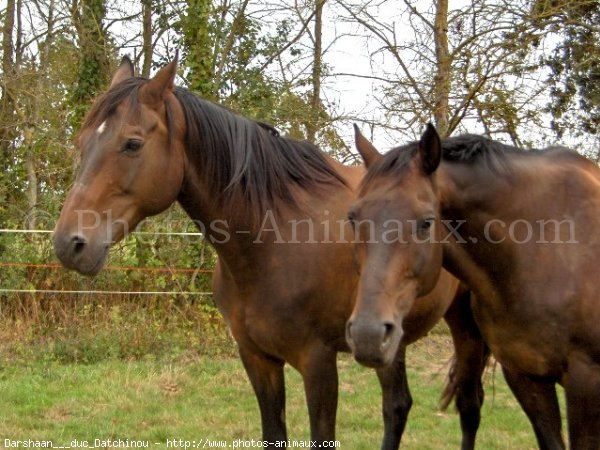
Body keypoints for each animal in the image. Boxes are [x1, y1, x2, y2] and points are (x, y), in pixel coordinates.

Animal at [52, 58, 488, 448]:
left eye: (132, 143)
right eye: (81, 143)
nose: (69, 244)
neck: (272, 241)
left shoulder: (318, 363)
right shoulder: (257, 359)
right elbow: (273, 434)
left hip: (467, 325)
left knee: (468, 404)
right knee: (397, 407)